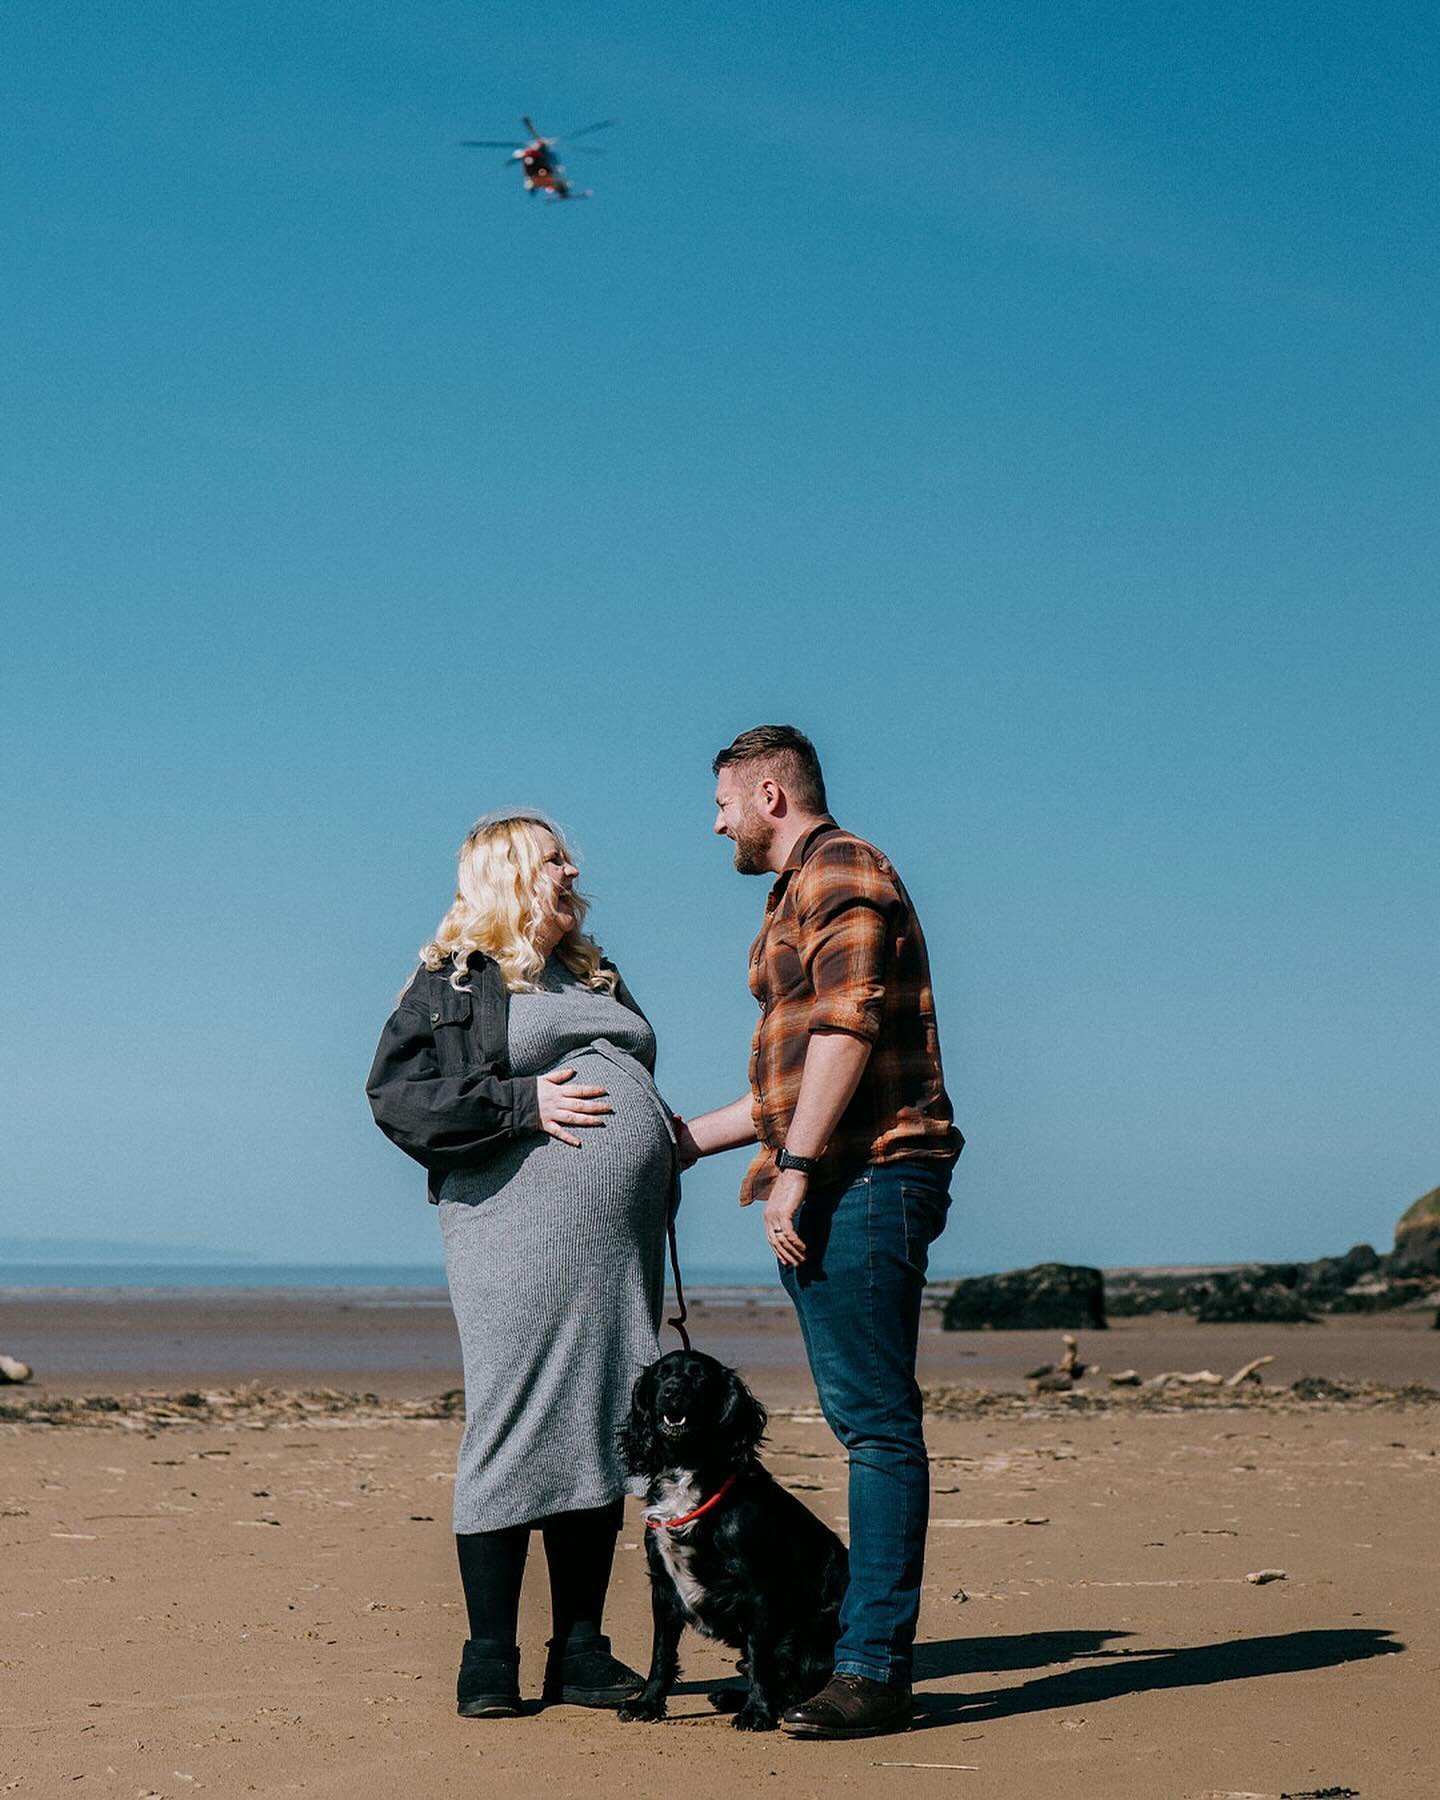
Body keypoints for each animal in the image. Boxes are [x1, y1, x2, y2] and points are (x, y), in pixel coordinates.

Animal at [615, 1353, 842, 1728]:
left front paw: (757, 1712)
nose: (672, 1391)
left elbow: (760, 1659)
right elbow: (661, 1654)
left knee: (793, 1683)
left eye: (700, 1378)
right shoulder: (663, 1587)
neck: (689, 1468)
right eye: (661, 1375)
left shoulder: (760, 1590)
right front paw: (647, 1704)